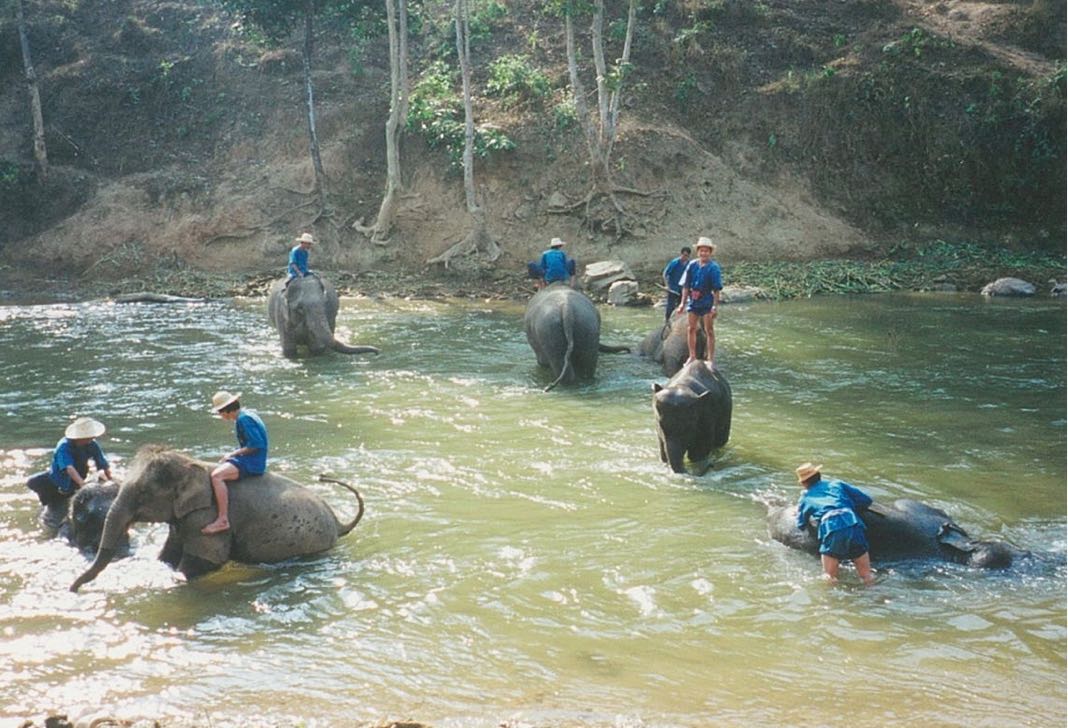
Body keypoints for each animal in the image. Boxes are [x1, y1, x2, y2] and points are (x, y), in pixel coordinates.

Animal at [71, 441, 365, 589]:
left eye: (143, 493)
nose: (73, 589)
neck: (193, 464)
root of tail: (339, 522)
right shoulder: (184, 518)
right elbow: (168, 554)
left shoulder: (207, 517)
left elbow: (204, 560)